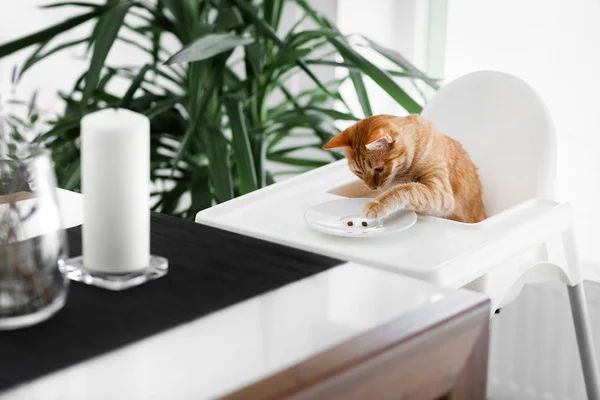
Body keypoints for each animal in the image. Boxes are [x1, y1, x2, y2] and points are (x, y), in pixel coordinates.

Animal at [324, 114, 488, 223]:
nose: (372, 188)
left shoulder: (441, 194)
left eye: (378, 169)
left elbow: (407, 189)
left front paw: (377, 204)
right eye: (358, 172)